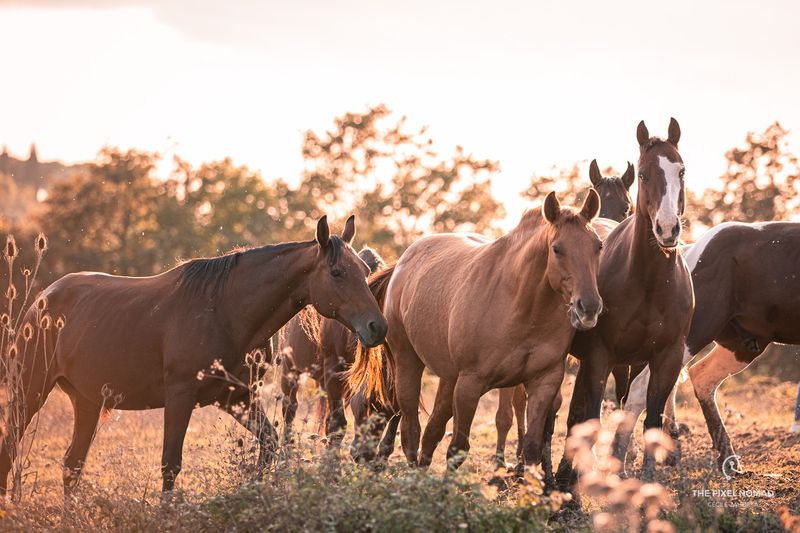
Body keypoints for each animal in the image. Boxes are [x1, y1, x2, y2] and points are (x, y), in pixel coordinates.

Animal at [280, 247, 398, 460]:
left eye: (386, 413)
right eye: (366, 405)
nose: (364, 455)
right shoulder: (334, 371)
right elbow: (337, 425)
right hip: (290, 370)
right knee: (289, 408)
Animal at [350, 188, 600, 470]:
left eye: (598, 246)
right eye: (557, 249)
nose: (589, 306)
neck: (522, 307)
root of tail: (403, 261)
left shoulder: (544, 383)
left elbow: (532, 447)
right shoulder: (470, 384)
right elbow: (458, 447)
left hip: (448, 378)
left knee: (432, 429)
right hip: (408, 363)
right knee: (411, 430)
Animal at [556, 118, 692, 488]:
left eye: (681, 171)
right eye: (644, 174)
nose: (667, 229)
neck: (648, 283)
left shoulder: (665, 357)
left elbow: (650, 420)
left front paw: (643, 478)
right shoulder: (600, 356)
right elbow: (591, 415)